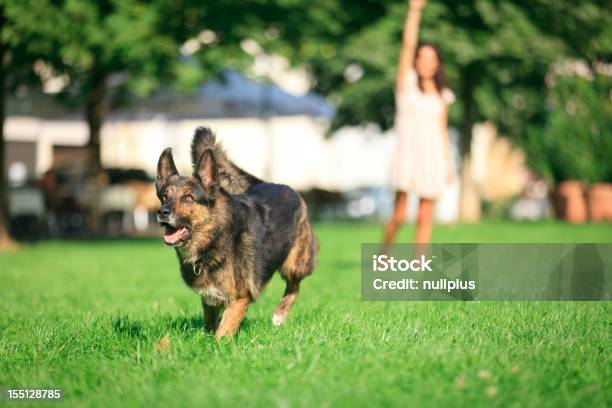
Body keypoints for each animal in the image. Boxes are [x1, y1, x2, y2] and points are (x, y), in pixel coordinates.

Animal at [155, 129, 318, 340]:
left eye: (188, 198)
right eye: (164, 196)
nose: (162, 212)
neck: (215, 236)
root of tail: (272, 183)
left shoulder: (240, 298)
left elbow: (223, 332)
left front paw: (217, 346)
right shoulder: (210, 298)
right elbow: (210, 323)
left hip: (294, 264)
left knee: (294, 287)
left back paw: (279, 315)